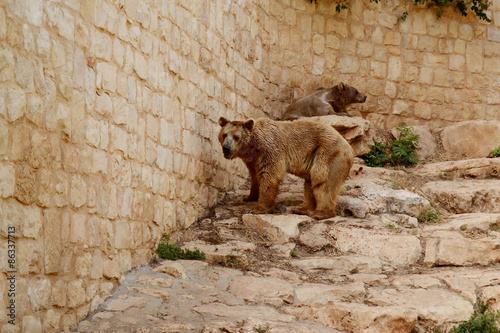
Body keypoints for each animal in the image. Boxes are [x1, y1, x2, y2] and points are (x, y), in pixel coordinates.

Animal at [219, 115, 356, 219]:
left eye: (236, 137)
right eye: (224, 135)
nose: (226, 148)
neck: (253, 146)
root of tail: (350, 148)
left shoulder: (270, 151)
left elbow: (269, 176)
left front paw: (259, 208)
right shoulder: (253, 160)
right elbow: (255, 176)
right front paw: (248, 197)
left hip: (327, 153)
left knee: (321, 180)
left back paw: (318, 212)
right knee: (310, 184)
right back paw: (302, 209)